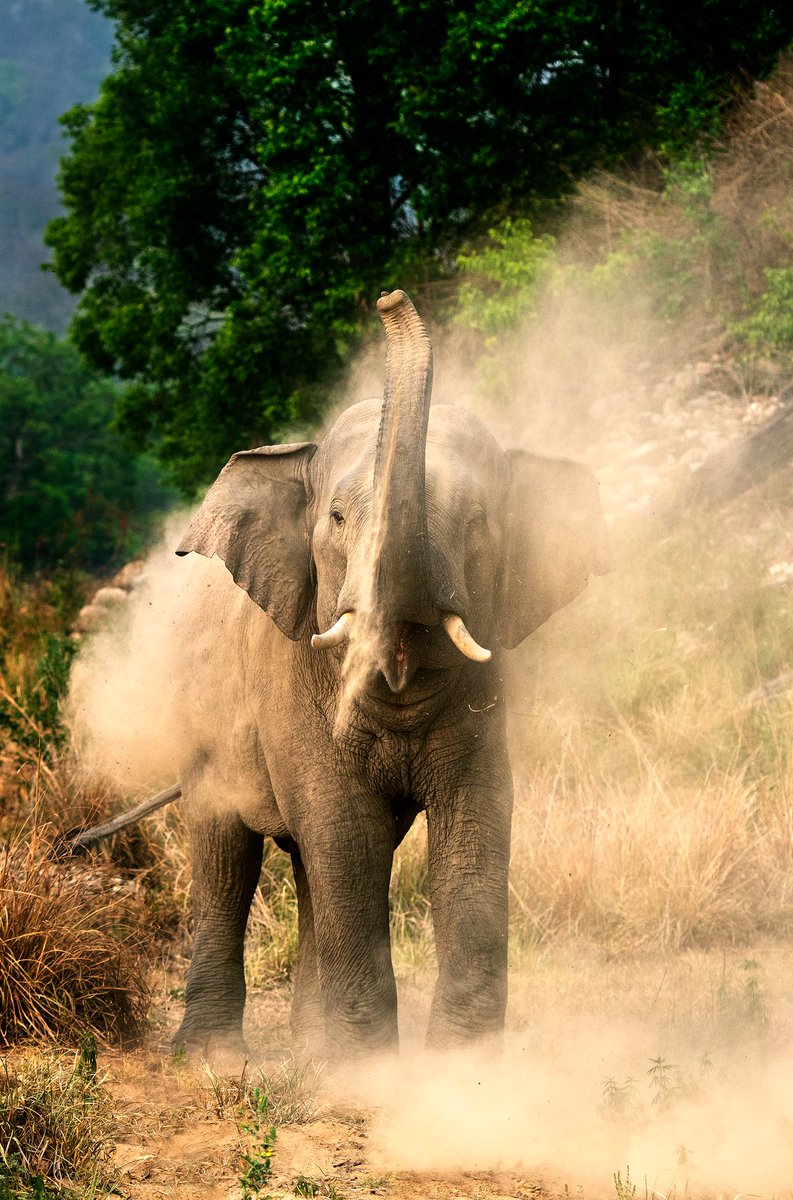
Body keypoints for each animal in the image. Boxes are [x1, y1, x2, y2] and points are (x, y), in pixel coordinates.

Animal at [167, 288, 610, 1062]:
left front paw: (460, 1069)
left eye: (477, 521)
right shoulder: (290, 682)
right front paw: (370, 1073)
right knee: (227, 856)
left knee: (306, 868)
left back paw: (310, 1052)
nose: (389, 297)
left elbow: (473, 823)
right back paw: (213, 1061)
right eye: (339, 519)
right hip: (208, 728)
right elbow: (345, 832)